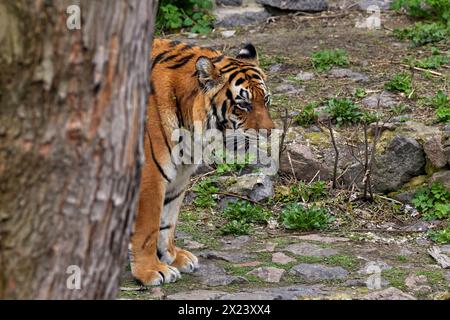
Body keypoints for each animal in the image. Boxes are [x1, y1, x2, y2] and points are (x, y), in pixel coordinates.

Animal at [130, 38, 274, 284]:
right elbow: (148, 227)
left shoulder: (178, 176)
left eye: (265, 99)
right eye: (243, 105)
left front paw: (172, 257)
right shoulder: (150, 176)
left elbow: (167, 221)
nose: (270, 132)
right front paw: (150, 270)